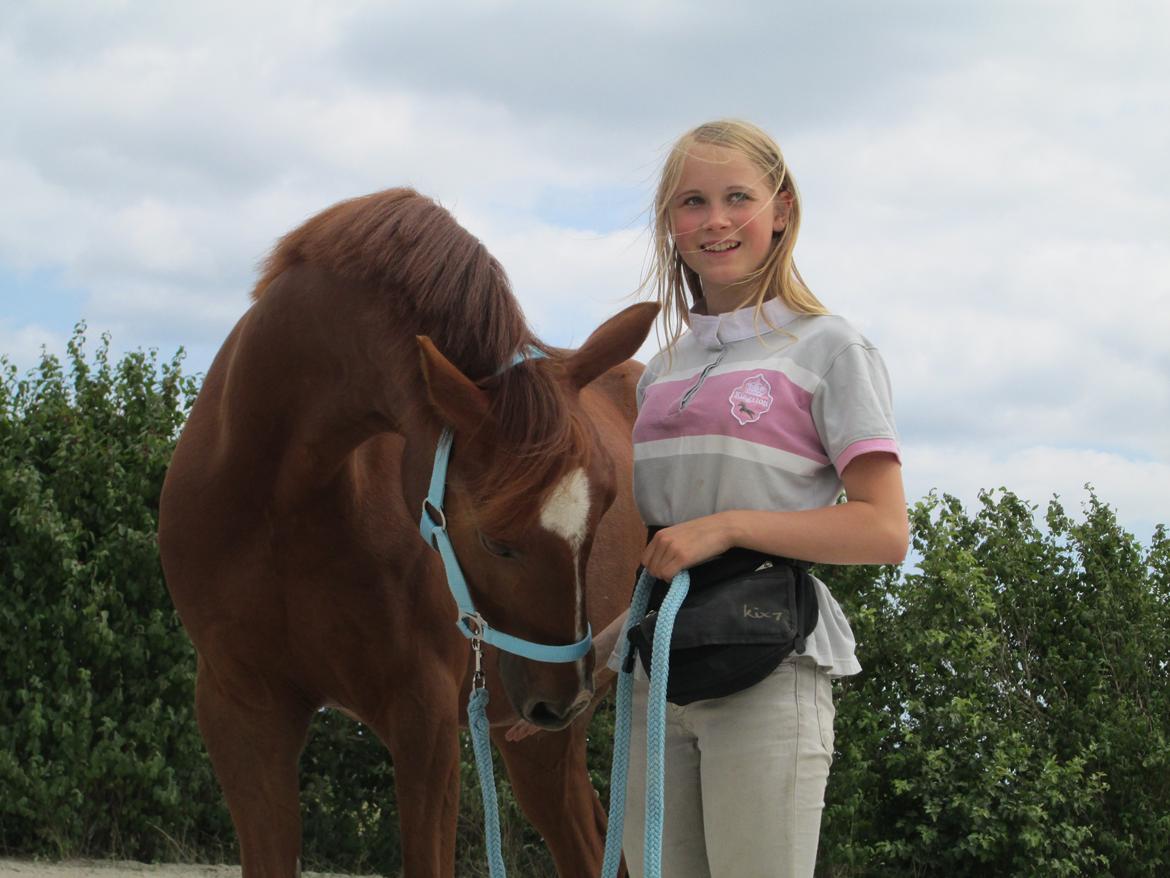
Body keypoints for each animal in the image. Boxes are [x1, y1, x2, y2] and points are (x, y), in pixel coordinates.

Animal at [156, 190, 655, 878]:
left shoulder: (425, 721)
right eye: (495, 539)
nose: (565, 697)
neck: (281, 503)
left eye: (605, 508)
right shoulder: (241, 712)